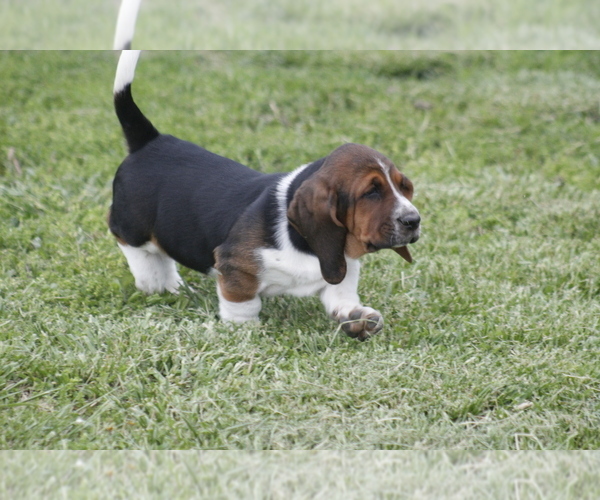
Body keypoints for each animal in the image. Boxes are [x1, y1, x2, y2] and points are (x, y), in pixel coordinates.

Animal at [108, 50, 420, 340]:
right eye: (371, 192)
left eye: (405, 187)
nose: (414, 221)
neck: (305, 244)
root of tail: (149, 141)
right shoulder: (234, 264)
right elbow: (242, 301)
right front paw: (245, 327)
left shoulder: (341, 266)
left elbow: (341, 295)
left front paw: (358, 317)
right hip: (132, 230)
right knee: (141, 255)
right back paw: (158, 280)